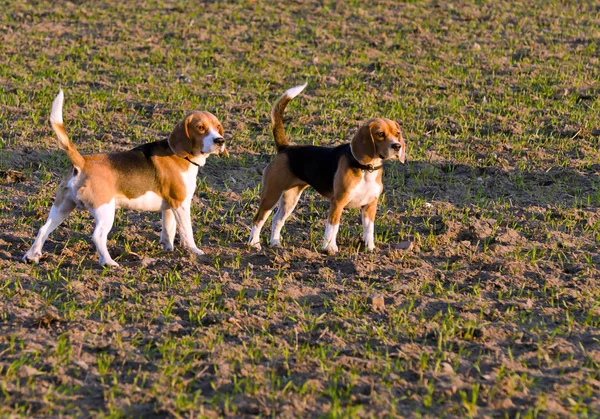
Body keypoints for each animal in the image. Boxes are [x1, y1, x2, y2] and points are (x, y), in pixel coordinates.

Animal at [22, 89, 227, 266]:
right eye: (200, 128)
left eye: (217, 127)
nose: (220, 141)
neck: (181, 156)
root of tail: (83, 162)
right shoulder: (182, 204)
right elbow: (186, 231)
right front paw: (195, 251)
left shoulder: (170, 206)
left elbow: (168, 229)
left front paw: (167, 249)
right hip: (105, 210)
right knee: (97, 236)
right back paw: (109, 262)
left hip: (62, 207)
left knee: (43, 229)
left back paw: (32, 256)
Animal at [246, 85, 406, 254]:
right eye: (380, 134)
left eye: (397, 134)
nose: (397, 146)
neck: (366, 169)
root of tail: (285, 148)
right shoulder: (338, 202)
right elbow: (332, 227)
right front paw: (330, 248)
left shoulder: (370, 205)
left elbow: (369, 230)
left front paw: (370, 249)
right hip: (272, 194)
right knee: (258, 219)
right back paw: (254, 244)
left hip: (291, 198)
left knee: (277, 219)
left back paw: (275, 243)